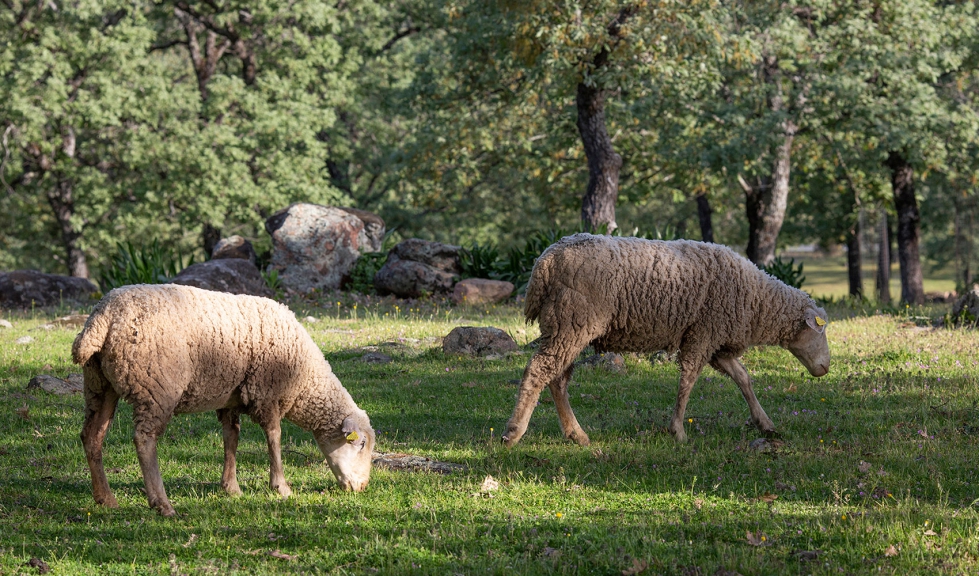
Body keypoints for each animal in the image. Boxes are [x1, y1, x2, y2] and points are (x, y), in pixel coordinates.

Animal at [72, 284, 374, 516]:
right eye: (360, 445)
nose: (362, 488)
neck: (304, 379)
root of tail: (102, 317)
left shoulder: (231, 399)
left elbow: (232, 437)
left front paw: (231, 487)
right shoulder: (266, 392)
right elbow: (274, 437)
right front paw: (281, 486)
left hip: (99, 385)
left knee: (92, 436)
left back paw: (106, 499)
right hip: (156, 387)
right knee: (144, 439)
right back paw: (162, 504)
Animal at [501, 233, 830, 446]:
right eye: (822, 330)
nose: (826, 367)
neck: (757, 300)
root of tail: (545, 261)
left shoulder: (717, 345)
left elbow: (744, 379)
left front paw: (765, 424)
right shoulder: (703, 333)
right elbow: (688, 381)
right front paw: (678, 431)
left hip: (566, 326)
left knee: (557, 378)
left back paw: (576, 434)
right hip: (571, 323)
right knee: (539, 371)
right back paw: (514, 432)